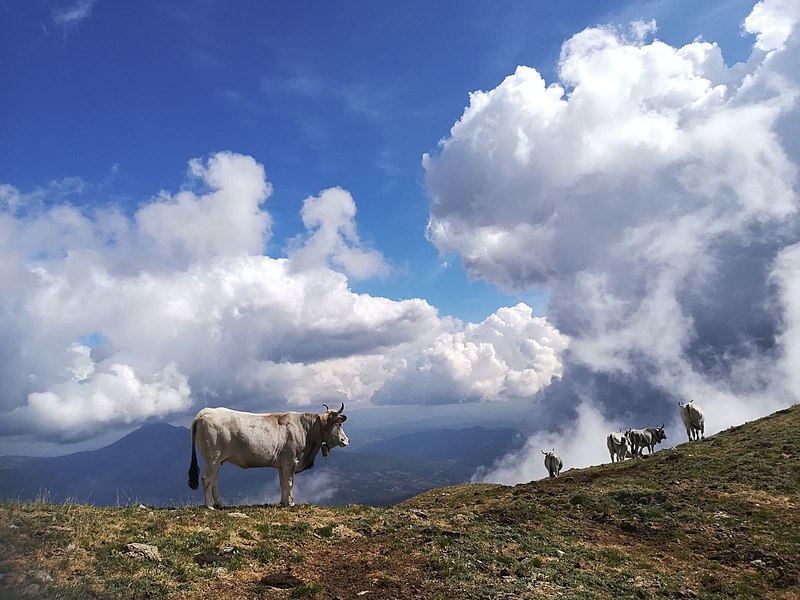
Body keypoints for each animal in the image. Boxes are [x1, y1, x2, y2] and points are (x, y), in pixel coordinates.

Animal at [189, 400, 352, 508]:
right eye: (339, 424)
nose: (347, 440)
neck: (306, 429)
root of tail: (206, 412)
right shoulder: (290, 461)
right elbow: (290, 482)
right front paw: (291, 503)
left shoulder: (282, 464)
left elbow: (282, 483)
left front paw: (283, 502)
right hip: (212, 457)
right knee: (206, 478)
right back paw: (209, 506)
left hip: (215, 460)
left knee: (214, 480)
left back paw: (219, 504)